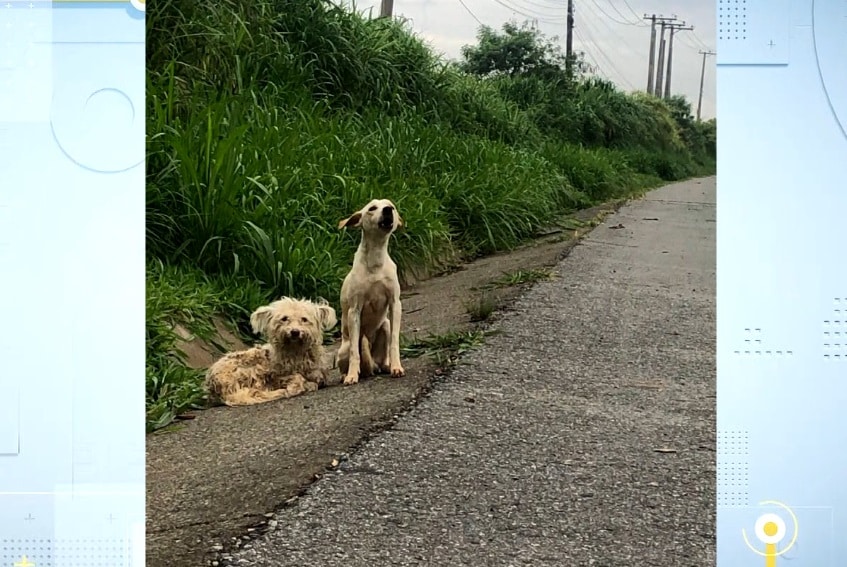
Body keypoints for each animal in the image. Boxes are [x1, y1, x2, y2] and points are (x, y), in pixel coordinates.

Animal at [205, 298, 338, 408]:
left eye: (304, 319)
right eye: (284, 318)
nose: (295, 332)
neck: (295, 352)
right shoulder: (274, 375)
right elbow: (297, 378)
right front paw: (297, 387)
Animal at [336, 196, 406, 386]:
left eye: (392, 206)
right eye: (372, 208)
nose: (388, 210)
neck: (375, 259)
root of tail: (373, 365)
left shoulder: (395, 304)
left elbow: (395, 342)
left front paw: (397, 367)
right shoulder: (354, 310)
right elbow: (355, 351)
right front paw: (352, 375)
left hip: (386, 326)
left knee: (381, 360)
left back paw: (386, 366)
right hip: (343, 349)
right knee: (349, 358)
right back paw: (347, 374)